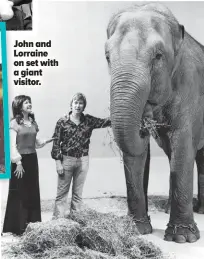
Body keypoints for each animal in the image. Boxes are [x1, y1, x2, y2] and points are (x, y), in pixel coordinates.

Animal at [105, 3, 204, 245]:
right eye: (107, 57)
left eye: (158, 56)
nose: (146, 124)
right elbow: (136, 156)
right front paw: (136, 230)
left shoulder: (189, 86)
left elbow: (182, 143)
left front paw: (183, 238)